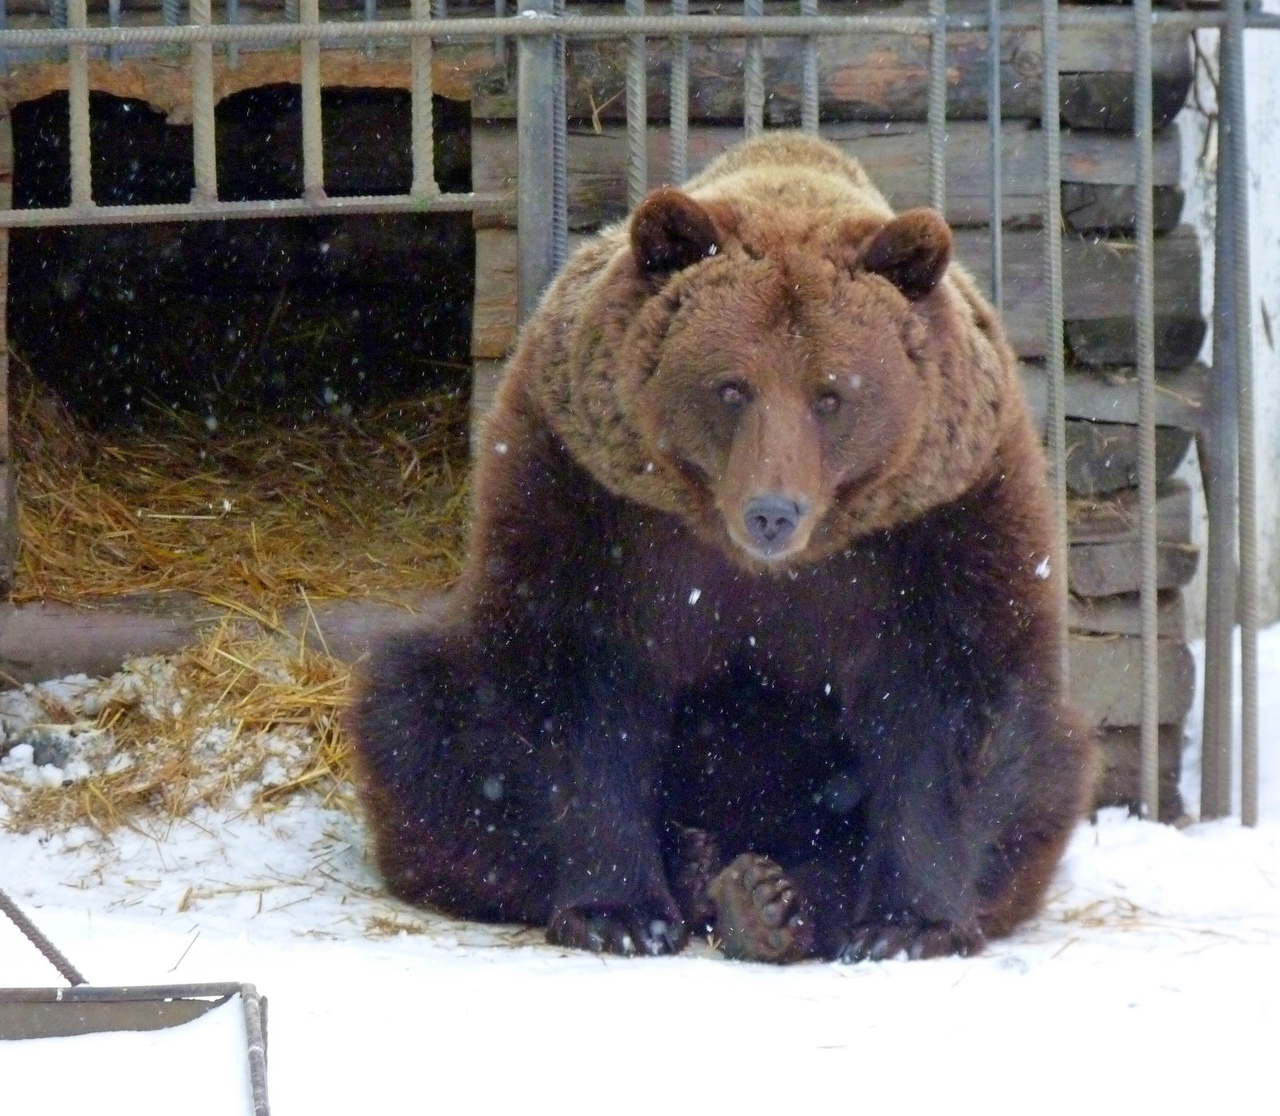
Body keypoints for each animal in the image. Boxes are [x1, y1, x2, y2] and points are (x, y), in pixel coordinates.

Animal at [350, 132, 1096, 963]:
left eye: (832, 394)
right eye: (732, 387)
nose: (772, 512)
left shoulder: (943, 520)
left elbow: (945, 707)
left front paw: (906, 925)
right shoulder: (586, 498)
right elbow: (572, 683)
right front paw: (618, 912)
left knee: (1042, 776)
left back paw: (768, 897)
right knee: (415, 717)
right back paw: (699, 860)